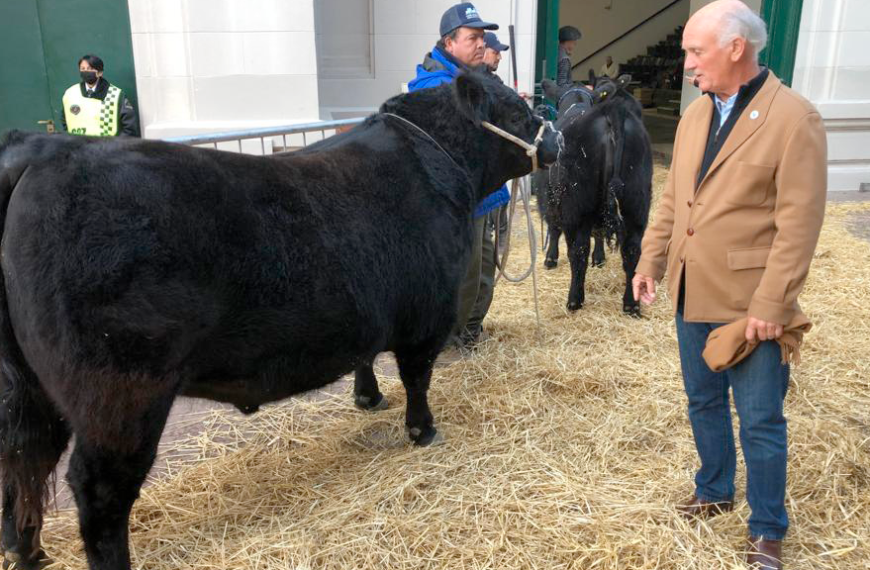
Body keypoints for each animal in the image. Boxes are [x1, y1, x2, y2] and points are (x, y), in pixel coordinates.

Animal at [0, 72, 560, 568]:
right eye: (516, 111)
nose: (553, 139)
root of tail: (41, 150)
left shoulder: (368, 309)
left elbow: (366, 357)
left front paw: (368, 397)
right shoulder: (427, 316)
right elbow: (417, 377)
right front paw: (423, 431)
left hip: (29, 391)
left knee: (19, 460)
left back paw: (27, 554)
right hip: (120, 391)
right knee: (98, 492)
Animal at [540, 73, 656, 316]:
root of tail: (613, 111)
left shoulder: (551, 197)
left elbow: (554, 228)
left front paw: (550, 258)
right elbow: (600, 233)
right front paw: (600, 258)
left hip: (577, 205)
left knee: (578, 251)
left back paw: (574, 299)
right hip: (637, 201)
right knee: (632, 250)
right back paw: (631, 303)